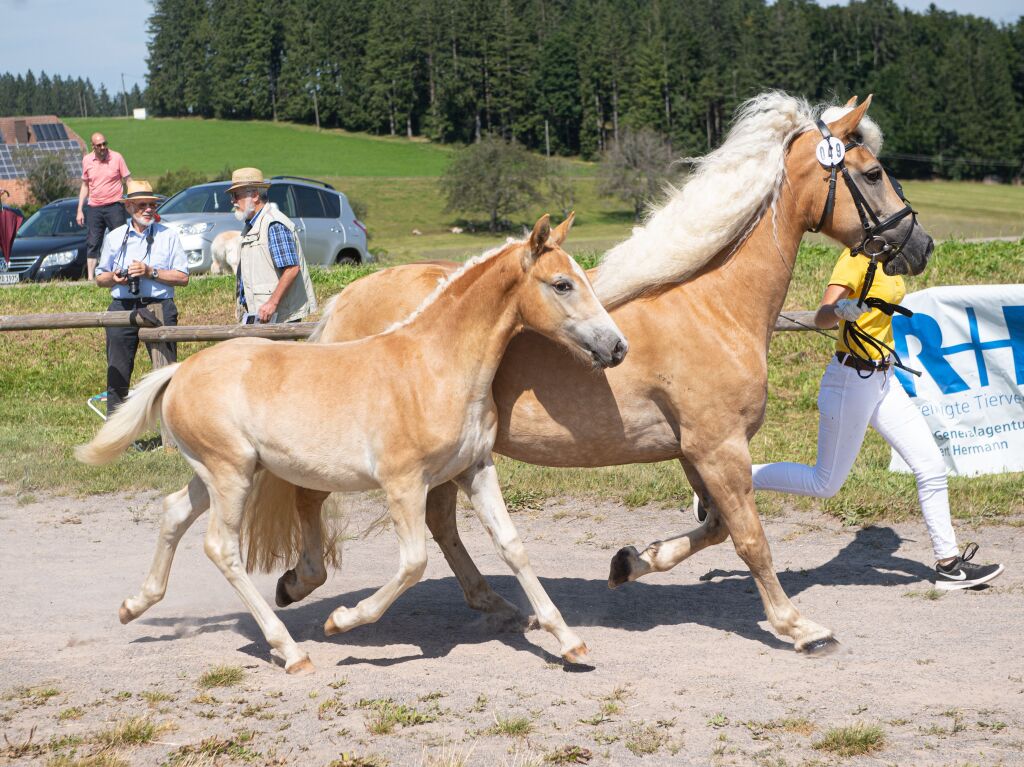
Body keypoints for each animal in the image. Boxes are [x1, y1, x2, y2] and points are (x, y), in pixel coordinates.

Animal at [74, 215, 622, 671]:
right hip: (229, 474)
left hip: (221, 473)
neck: (435, 366)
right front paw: (342, 620)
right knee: (222, 548)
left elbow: (513, 547)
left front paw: (569, 641)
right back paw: (291, 651)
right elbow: (414, 562)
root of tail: (181, 370)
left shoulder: (475, 469)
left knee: (172, 513)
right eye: (562, 284)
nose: (617, 347)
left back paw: (134, 605)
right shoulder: (404, 482)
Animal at [251, 89, 933, 651]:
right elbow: (749, 538)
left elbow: (713, 528)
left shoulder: (695, 449)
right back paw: (300, 583)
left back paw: (497, 605)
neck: (712, 302)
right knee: (316, 497)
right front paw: (797, 626)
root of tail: (348, 299)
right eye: (873, 172)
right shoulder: (719, 446)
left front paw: (631, 561)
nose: (920, 245)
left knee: (439, 525)